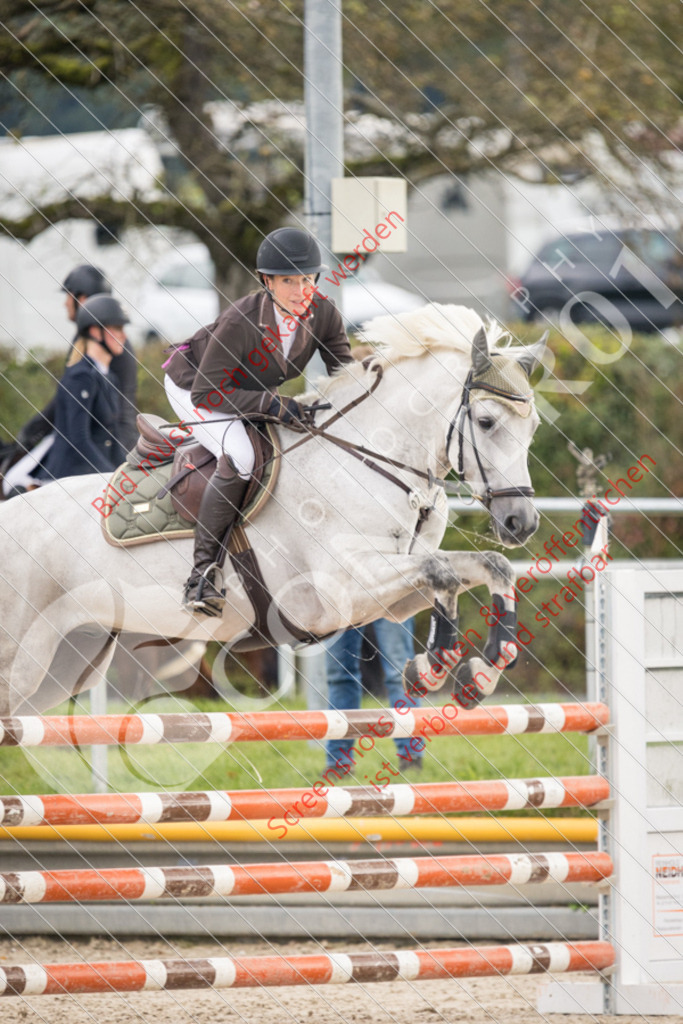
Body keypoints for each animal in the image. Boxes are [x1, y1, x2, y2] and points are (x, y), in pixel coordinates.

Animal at [0, 307, 544, 716]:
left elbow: (481, 567)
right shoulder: (343, 587)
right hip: (21, 660)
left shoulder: (389, 596)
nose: (522, 522)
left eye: (534, 426)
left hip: (66, 661)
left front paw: (477, 671)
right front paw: (437, 667)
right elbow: (442, 572)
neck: (369, 459)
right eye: (486, 421)